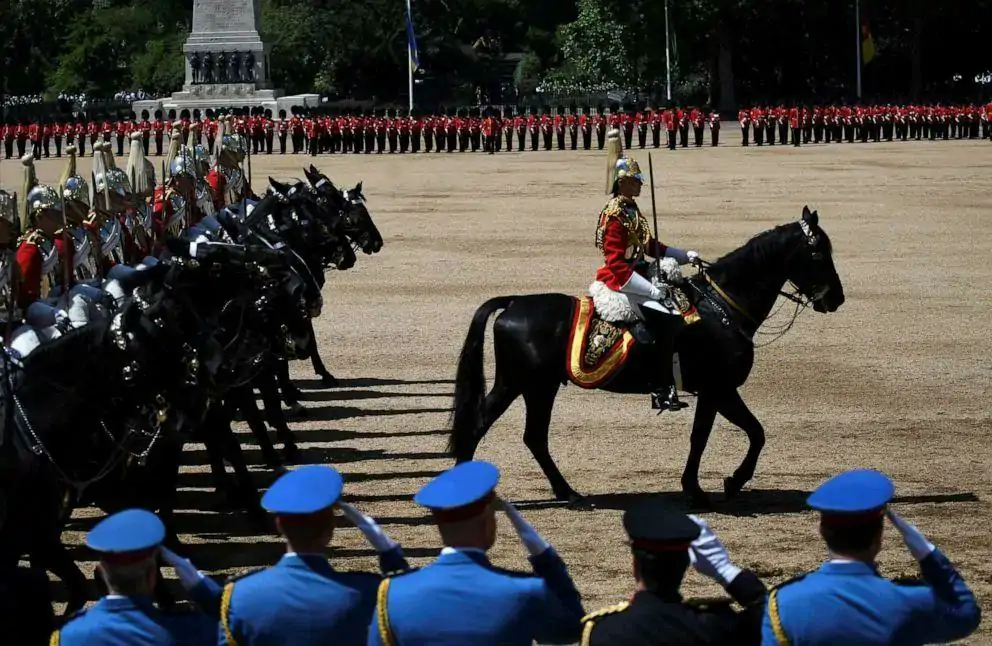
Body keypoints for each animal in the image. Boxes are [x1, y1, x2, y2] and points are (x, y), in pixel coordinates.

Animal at [450, 208, 844, 512]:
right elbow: (725, 436)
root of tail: (514, 302)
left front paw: (714, 485)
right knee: (479, 426)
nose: (836, 299)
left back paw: (568, 493)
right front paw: (713, 487)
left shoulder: (716, 391)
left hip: (539, 387)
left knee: (533, 437)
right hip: (519, 384)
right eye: (818, 255)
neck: (722, 308)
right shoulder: (718, 389)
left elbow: (742, 433)